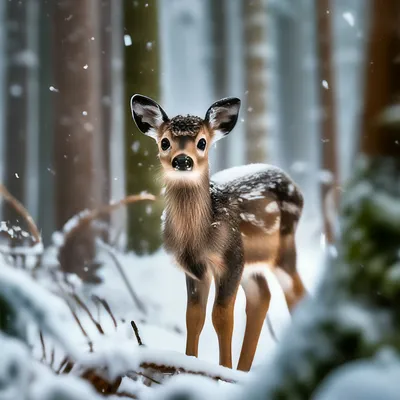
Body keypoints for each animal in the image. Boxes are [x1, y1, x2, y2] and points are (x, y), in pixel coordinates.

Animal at [130, 94, 306, 372]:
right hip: (251, 260)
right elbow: (194, 316)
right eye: (165, 142)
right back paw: (244, 370)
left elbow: (221, 316)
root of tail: (297, 189)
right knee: (262, 295)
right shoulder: (194, 267)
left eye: (202, 142)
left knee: (296, 295)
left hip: (283, 248)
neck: (198, 238)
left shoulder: (230, 257)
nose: (182, 160)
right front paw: (190, 362)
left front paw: (223, 370)